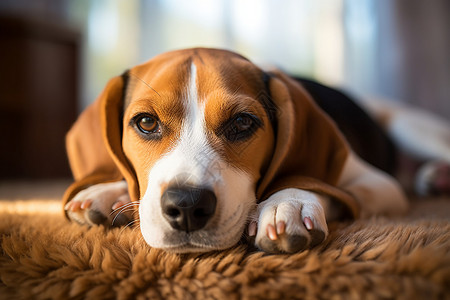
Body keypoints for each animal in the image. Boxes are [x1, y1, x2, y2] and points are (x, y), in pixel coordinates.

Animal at [64, 48, 412, 253]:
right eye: (146, 122)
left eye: (243, 122)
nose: (187, 206)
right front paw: (108, 190)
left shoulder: (381, 184)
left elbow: (312, 183)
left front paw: (289, 203)